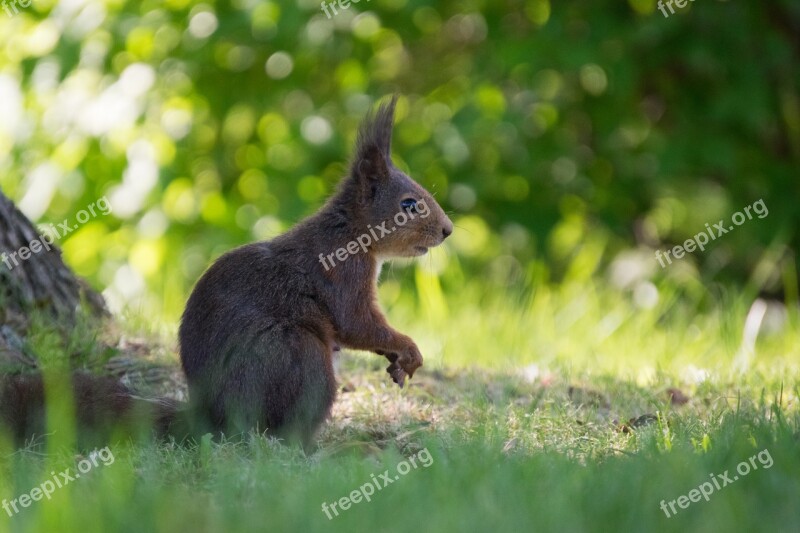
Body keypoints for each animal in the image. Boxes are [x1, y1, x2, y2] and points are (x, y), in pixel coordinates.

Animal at [180, 95, 454, 444]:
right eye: (408, 205)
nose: (447, 230)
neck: (351, 232)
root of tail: (209, 417)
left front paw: (397, 361)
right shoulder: (344, 274)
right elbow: (356, 323)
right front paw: (409, 349)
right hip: (296, 355)